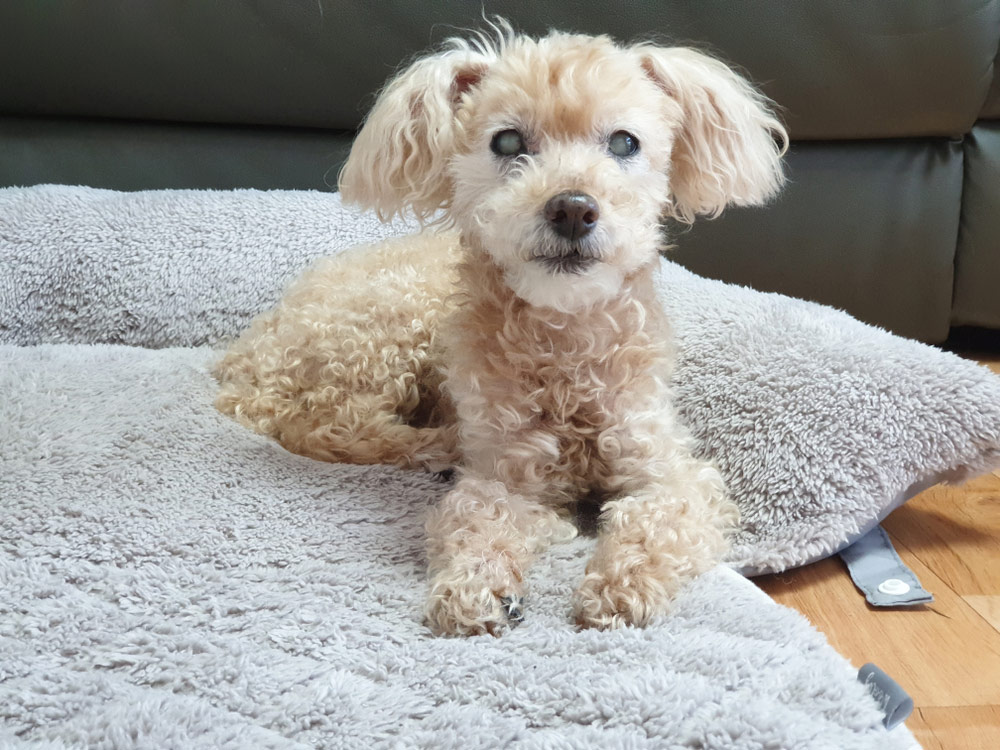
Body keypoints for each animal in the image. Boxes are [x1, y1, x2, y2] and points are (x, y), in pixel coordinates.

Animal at [215, 20, 784, 636]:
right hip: (383, 330)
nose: (572, 208)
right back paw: (437, 445)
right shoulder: (505, 469)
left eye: (625, 143)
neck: (564, 341)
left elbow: (660, 515)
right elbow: (477, 513)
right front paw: (476, 585)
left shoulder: (666, 464)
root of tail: (245, 358)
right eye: (507, 143)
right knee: (329, 427)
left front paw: (622, 586)